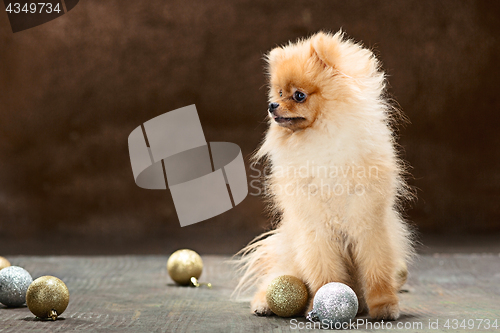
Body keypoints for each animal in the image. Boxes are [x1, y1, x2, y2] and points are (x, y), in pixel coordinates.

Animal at [237, 30, 414, 320]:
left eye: (298, 96)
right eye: (279, 92)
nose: (272, 105)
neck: (320, 139)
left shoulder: (368, 222)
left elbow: (377, 269)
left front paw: (384, 306)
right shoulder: (315, 228)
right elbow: (325, 273)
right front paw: (325, 299)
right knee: (276, 277)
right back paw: (264, 303)